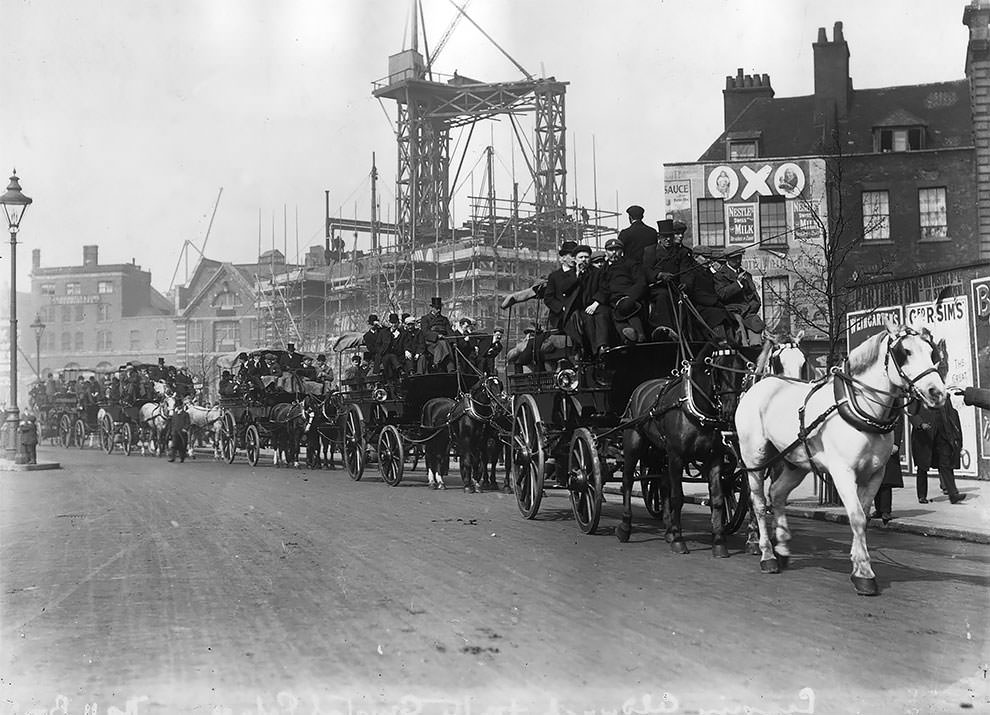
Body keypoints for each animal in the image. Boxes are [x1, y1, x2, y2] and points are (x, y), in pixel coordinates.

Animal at [740, 324, 948, 600]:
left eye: (931, 352)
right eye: (905, 352)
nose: (938, 393)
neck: (862, 406)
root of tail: (758, 387)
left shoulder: (875, 474)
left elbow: (863, 517)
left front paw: (858, 563)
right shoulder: (842, 472)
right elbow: (857, 516)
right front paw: (864, 573)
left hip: (795, 461)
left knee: (777, 493)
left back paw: (782, 547)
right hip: (754, 458)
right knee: (759, 503)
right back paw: (766, 553)